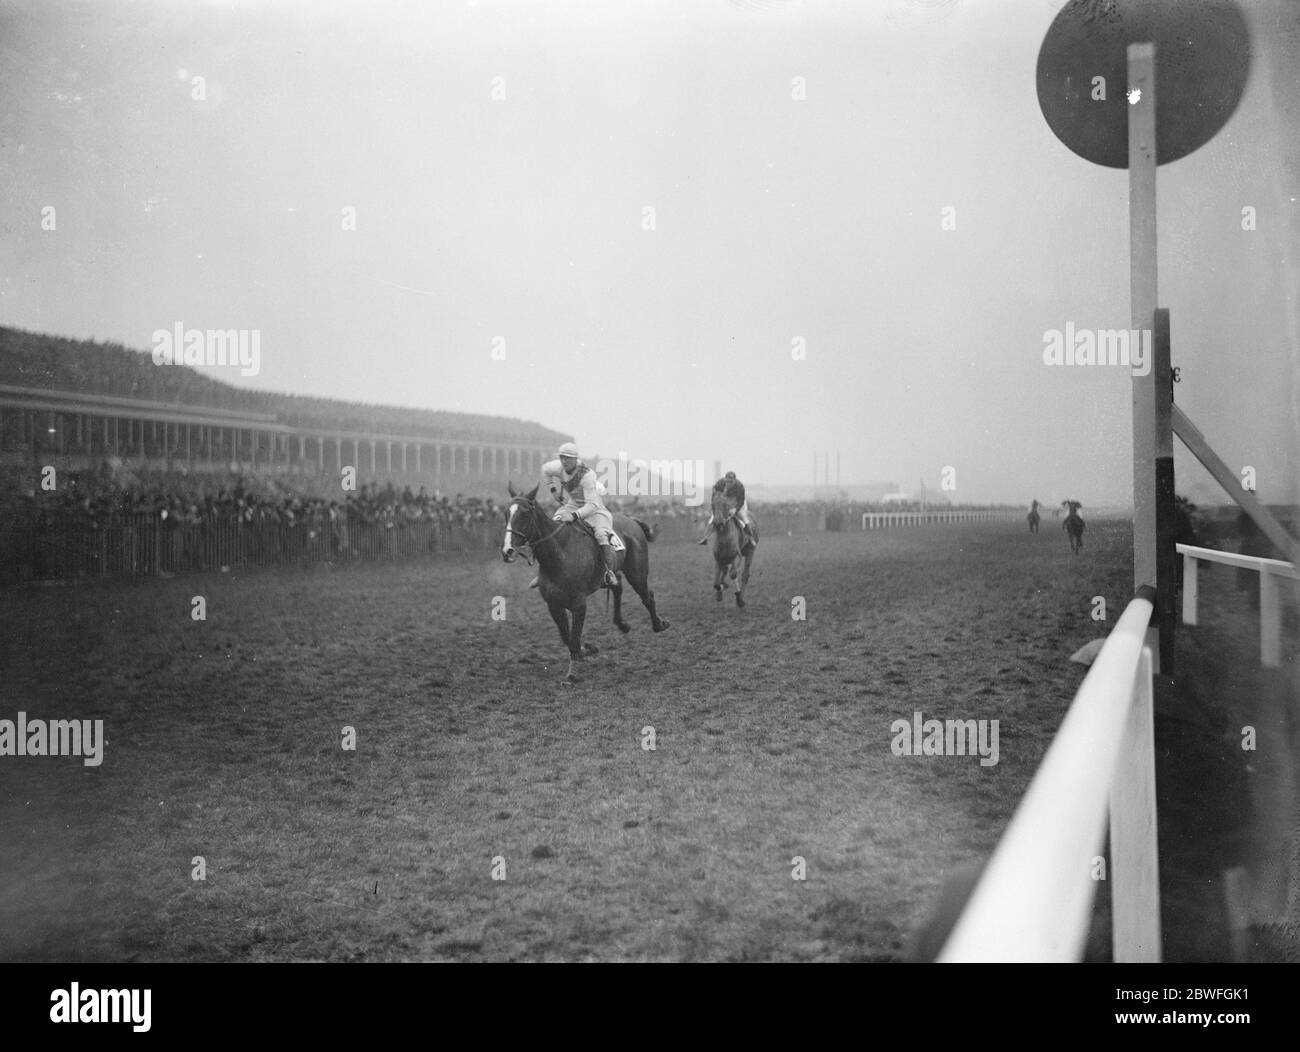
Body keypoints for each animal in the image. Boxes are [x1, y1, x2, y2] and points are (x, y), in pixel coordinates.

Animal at [491, 481, 665, 681]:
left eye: (525, 514)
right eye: (506, 513)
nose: (507, 550)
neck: (560, 555)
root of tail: (632, 520)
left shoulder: (579, 604)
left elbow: (573, 639)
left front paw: (573, 673)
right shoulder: (554, 605)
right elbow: (567, 638)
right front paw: (587, 649)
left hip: (637, 572)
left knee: (647, 596)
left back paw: (659, 624)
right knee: (618, 586)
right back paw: (622, 624)